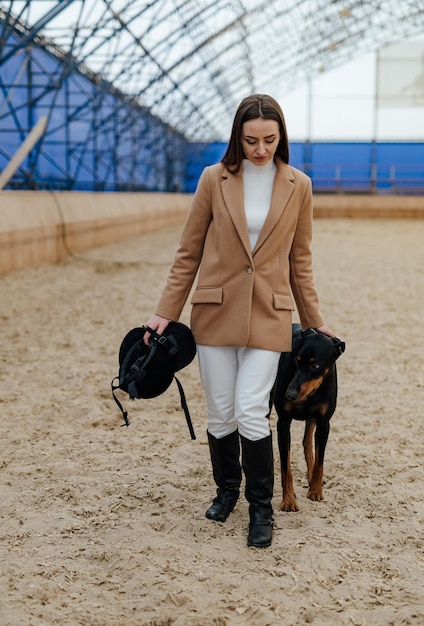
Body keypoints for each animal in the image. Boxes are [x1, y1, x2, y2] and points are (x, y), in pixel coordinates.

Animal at [274, 324, 346, 510]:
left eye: (316, 365)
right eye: (297, 360)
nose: (290, 394)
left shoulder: (324, 423)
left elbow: (320, 460)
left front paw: (315, 490)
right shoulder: (283, 422)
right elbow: (286, 467)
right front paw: (289, 500)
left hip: (313, 419)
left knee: (307, 442)